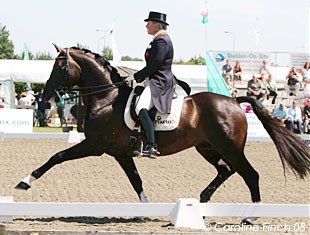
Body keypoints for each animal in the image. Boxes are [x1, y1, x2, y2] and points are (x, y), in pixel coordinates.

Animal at [16, 45, 308, 215]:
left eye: (60, 66)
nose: (46, 98)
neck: (107, 97)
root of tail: (236, 101)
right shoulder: (120, 153)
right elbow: (136, 182)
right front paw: (147, 209)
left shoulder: (95, 145)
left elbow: (56, 157)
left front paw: (24, 182)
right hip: (207, 147)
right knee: (226, 170)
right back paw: (201, 201)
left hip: (230, 147)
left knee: (250, 174)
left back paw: (252, 215)